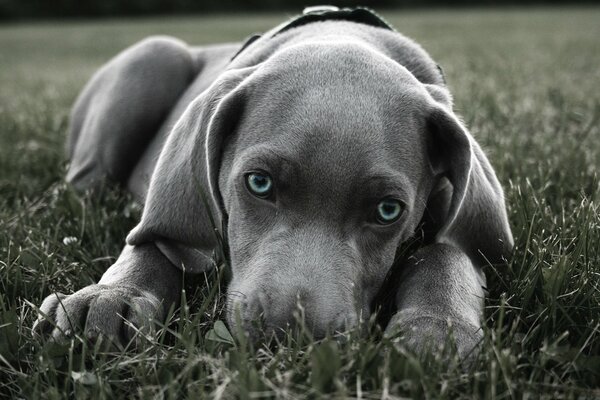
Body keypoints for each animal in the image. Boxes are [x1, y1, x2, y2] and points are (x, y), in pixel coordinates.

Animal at [34, 6, 510, 356]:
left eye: (388, 210)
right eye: (259, 183)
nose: (291, 336)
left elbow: (450, 252)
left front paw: (437, 328)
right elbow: (154, 241)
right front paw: (109, 297)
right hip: (152, 57)